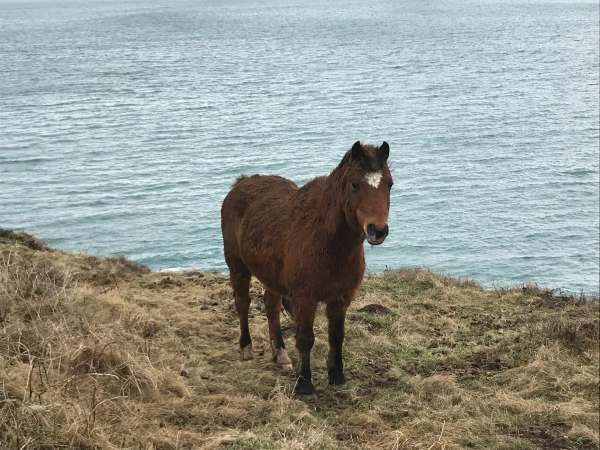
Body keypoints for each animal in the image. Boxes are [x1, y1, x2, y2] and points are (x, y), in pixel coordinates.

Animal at [220, 141, 394, 398]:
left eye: (389, 184)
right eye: (355, 184)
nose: (378, 230)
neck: (328, 242)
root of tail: (240, 183)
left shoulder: (341, 299)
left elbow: (336, 337)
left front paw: (337, 376)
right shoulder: (305, 299)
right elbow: (305, 339)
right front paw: (304, 384)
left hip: (272, 277)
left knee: (271, 306)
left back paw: (280, 353)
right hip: (237, 266)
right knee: (242, 302)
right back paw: (246, 347)